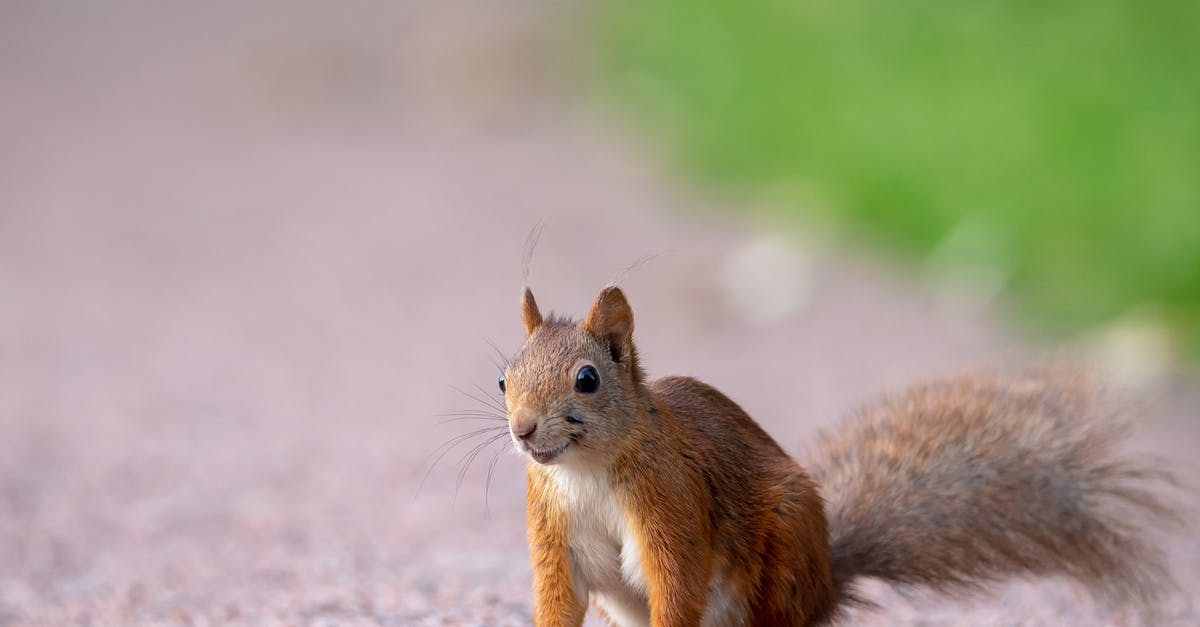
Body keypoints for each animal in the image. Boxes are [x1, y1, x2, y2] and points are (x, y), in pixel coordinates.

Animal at [499, 284, 1180, 624]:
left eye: (588, 379)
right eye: (504, 378)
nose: (524, 431)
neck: (586, 473)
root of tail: (825, 582)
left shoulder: (673, 509)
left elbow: (676, 590)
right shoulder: (552, 532)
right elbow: (559, 604)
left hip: (780, 558)